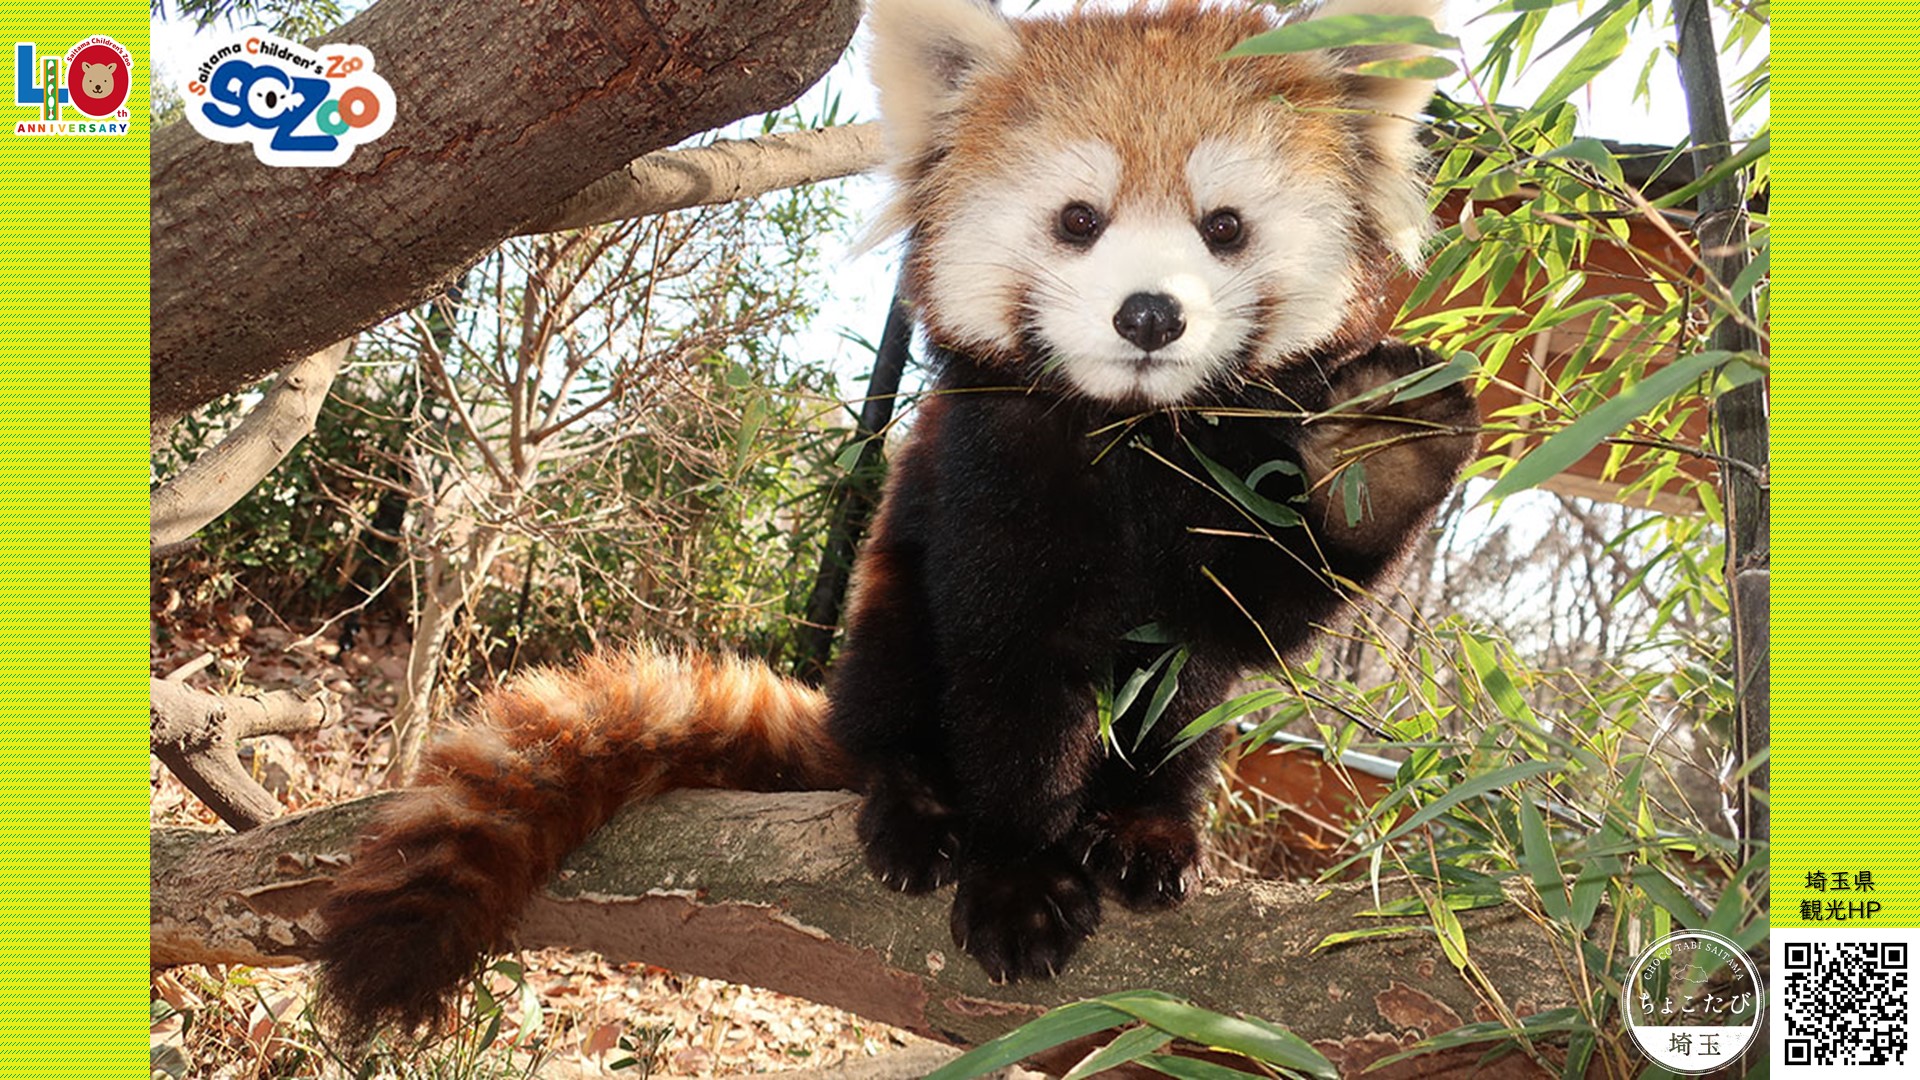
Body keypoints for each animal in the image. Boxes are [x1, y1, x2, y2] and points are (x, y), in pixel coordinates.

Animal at [322, 0, 1474, 1037]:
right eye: (1080, 219)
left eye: (1224, 228)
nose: (1150, 314)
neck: (1128, 434)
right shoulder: (984, 479)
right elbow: (1012, 685)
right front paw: (1021, 873)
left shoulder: (1228, 474)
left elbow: (1240, 622)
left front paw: (1382, 452)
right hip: (885, 622)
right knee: (898, 688)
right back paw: (913, 801)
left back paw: (1149, 822)